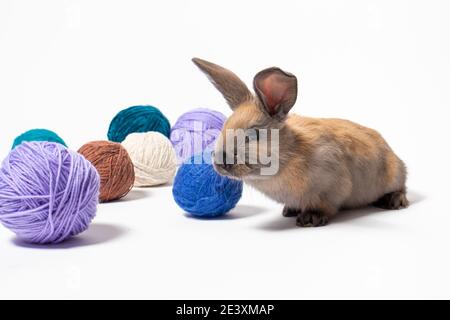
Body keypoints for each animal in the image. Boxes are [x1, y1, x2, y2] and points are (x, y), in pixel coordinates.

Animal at [191, 58, 408, 228]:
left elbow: (325, 206)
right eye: (223, 128)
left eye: (252, 135)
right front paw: (290, 210)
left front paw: (310, 219)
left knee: (401, 186)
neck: (290, 153)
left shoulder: (332, 186)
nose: (220, 163)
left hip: (394, 174)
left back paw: (394, 201)